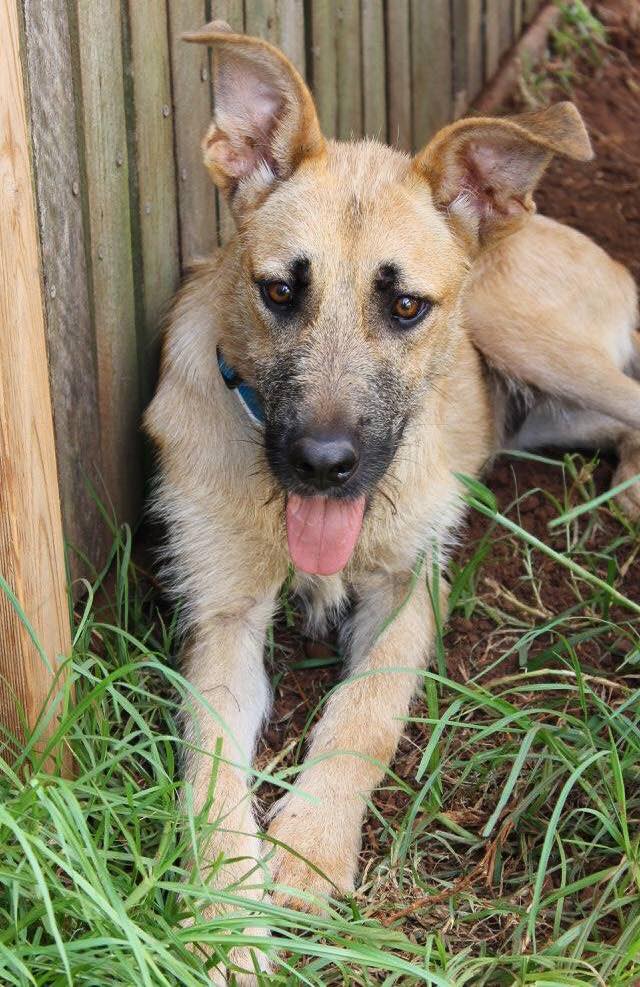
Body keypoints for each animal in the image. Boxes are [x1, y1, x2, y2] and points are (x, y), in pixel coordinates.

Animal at [144, 21, 640, 981]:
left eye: (407, 305)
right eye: (277, 291)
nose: (322, 464)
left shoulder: (411, 590)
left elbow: (364, 713)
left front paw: (308, 850)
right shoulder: (221, 619)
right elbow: (209, 773)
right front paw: (227, 912)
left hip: (524, 329)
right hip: (553, 409)